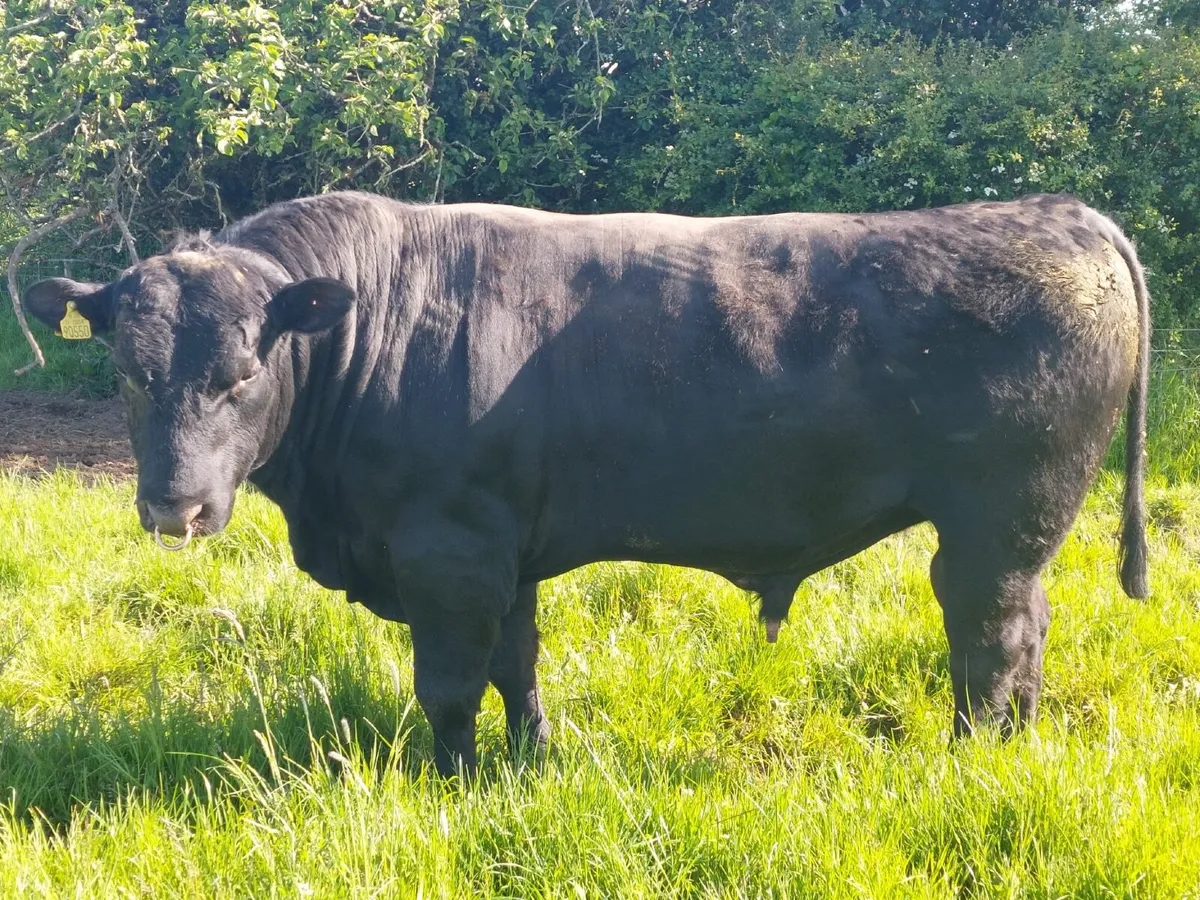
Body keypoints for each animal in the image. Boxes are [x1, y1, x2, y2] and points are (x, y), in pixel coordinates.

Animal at [25, 191, 1149, 777]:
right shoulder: (501, 549)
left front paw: (451, 782)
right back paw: (1019, 747)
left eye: (242, 373)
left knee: (988, 636)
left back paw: (970, 758)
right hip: (1018, 532)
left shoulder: (447, 556)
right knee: (1025, 630)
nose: (173, 508)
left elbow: (449, 685)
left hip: (997, 521)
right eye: (128, 373)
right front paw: (529, 762)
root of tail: (1061, 212)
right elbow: (516, 668)